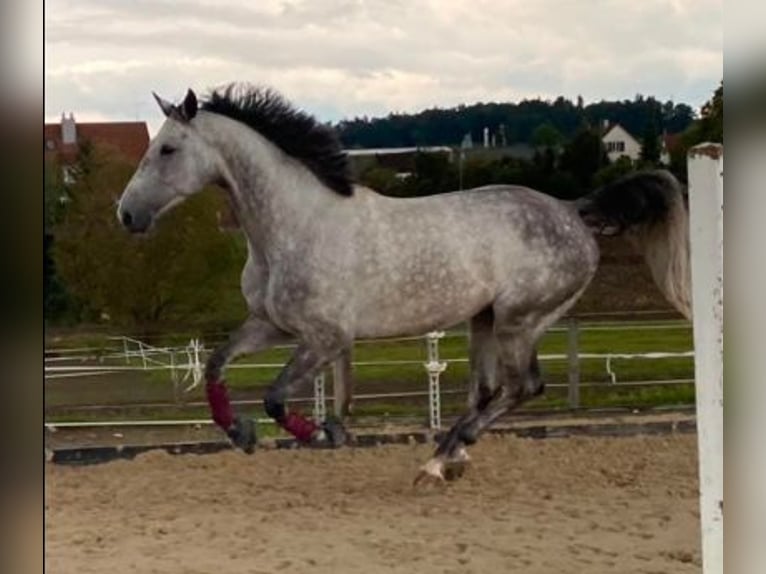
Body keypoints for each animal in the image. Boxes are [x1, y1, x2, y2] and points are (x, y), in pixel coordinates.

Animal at [117, 83, 692, 484]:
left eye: (167, 149)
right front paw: (240, 434)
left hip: (519, 320)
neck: (294, 224)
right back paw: (445, 457)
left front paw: (324, 431)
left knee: (522, 387)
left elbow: (276, 396)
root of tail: (573, 211)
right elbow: (215, 365)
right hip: (484, 319)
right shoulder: (271, 325)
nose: (126, 215)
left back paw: (444, 457)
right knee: (487, 391)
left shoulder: (325, 338)